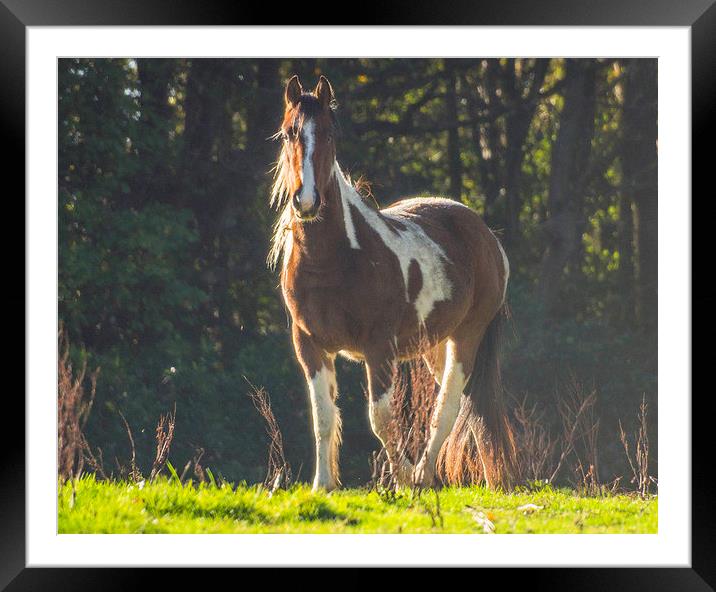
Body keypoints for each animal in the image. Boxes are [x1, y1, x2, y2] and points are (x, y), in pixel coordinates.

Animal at [268, 74, 516, 490]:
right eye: (289, 133)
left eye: (330, 133)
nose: (307, 201)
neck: (333, 262)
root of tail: (487, 236)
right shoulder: (310, 346)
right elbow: (323, 418)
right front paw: (323, 485)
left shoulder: (379, 348)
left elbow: (381, 420)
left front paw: (401, 480)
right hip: (436, 344)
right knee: (468, 406)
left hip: (466, 336)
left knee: (449, 406)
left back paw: (423, 474)